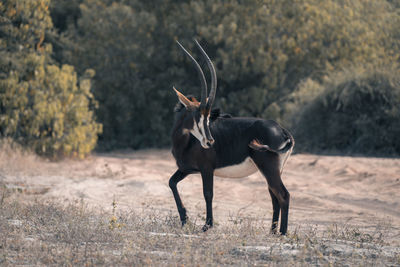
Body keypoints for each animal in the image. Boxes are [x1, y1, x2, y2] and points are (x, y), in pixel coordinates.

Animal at [169, 38, 294, 236]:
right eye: (198, 115)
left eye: (208, 116)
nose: (209, 141)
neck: (185, 142)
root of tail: (282, 130)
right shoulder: (186, 169)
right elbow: (171, 183)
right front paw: (184, 219)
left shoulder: (206, 169)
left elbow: (208, 193)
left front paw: (207, 225)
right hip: (272, 170)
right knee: (274, 196)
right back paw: (272, 232)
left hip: (269, 168)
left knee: (283, 195)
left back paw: (282, 232)